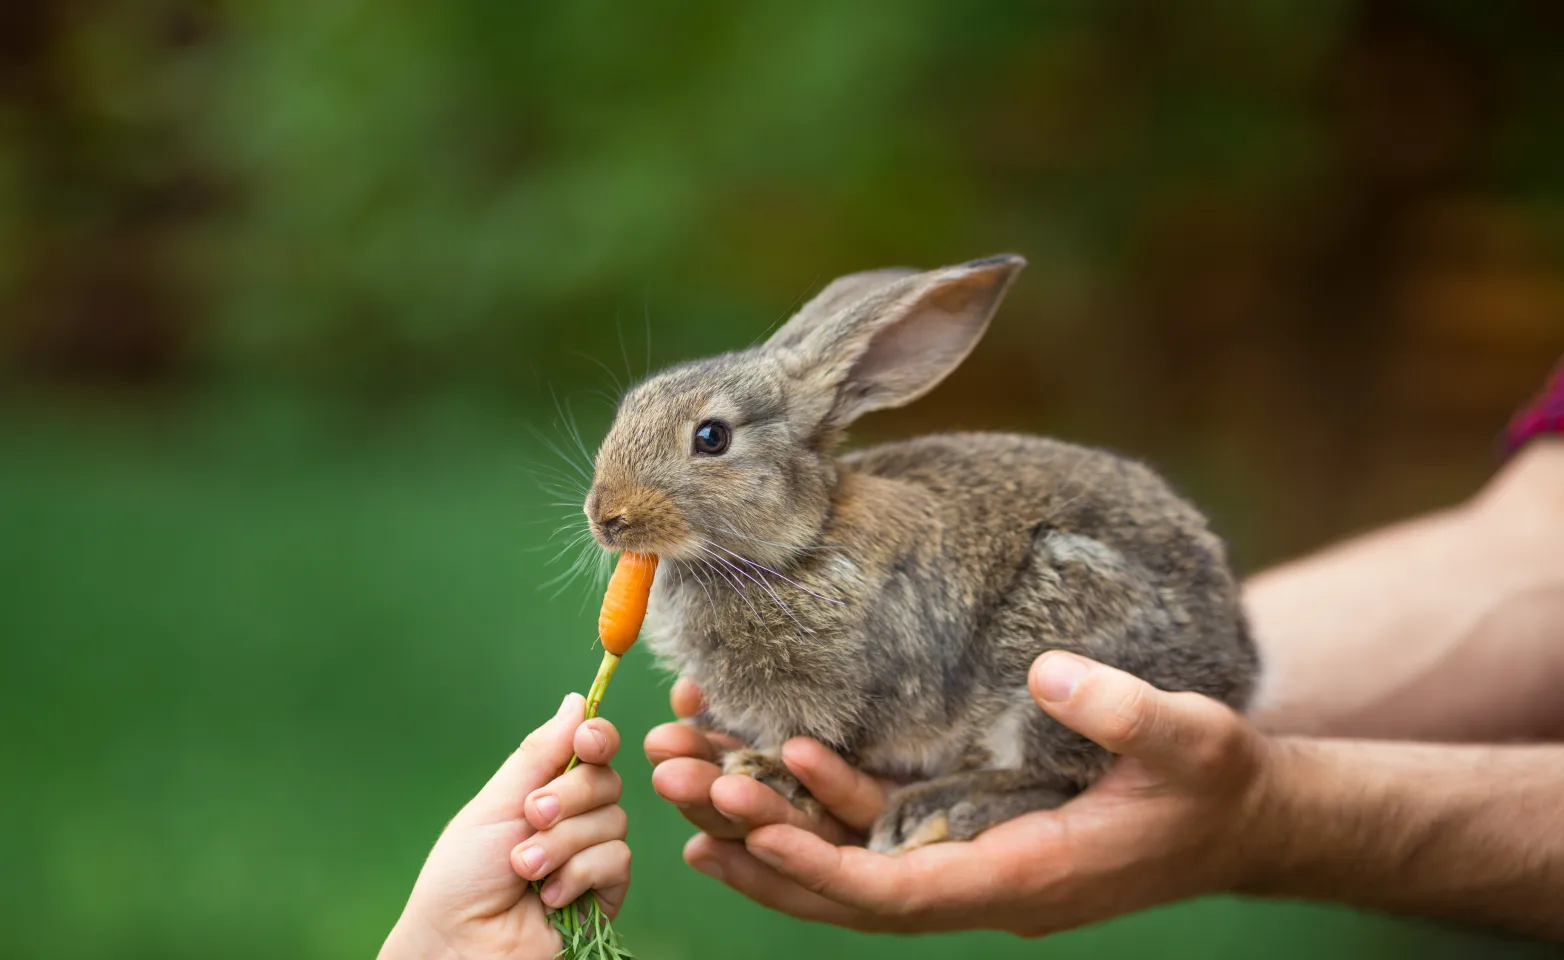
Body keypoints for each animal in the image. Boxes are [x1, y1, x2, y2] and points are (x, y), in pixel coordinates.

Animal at [584, 257, 1257, 856]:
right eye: (629, 408)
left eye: (712, 437)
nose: (605, 516)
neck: (799, 545)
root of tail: (1236, 673)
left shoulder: (840, 693)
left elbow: (819, 740)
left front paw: (764, 770)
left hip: (1053, 652)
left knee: (1053, 774)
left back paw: (937, 811)